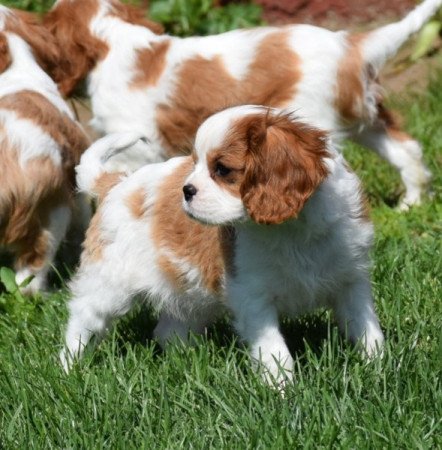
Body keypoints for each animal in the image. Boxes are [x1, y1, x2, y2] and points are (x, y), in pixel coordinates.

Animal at [44, 0, 438, 207]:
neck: (115, 40)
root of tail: (351, 47)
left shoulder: (136, 145)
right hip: (365, 121)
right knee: (407, 150)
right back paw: (411, 203)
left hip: (310, 119)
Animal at [59, 107, 384, 382]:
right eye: (194, 164)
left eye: (223, 169)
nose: (186, 190)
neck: (291, 229)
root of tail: (115, 182)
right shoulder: (252, 296)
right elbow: (274, 350)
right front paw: (283, 391)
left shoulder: (351, 280)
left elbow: (366, 327)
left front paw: (378, 367)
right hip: (107, 285)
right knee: (82, 323)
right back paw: (69, 369)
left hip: (187, 287)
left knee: (168, 328)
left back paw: (186, 359)